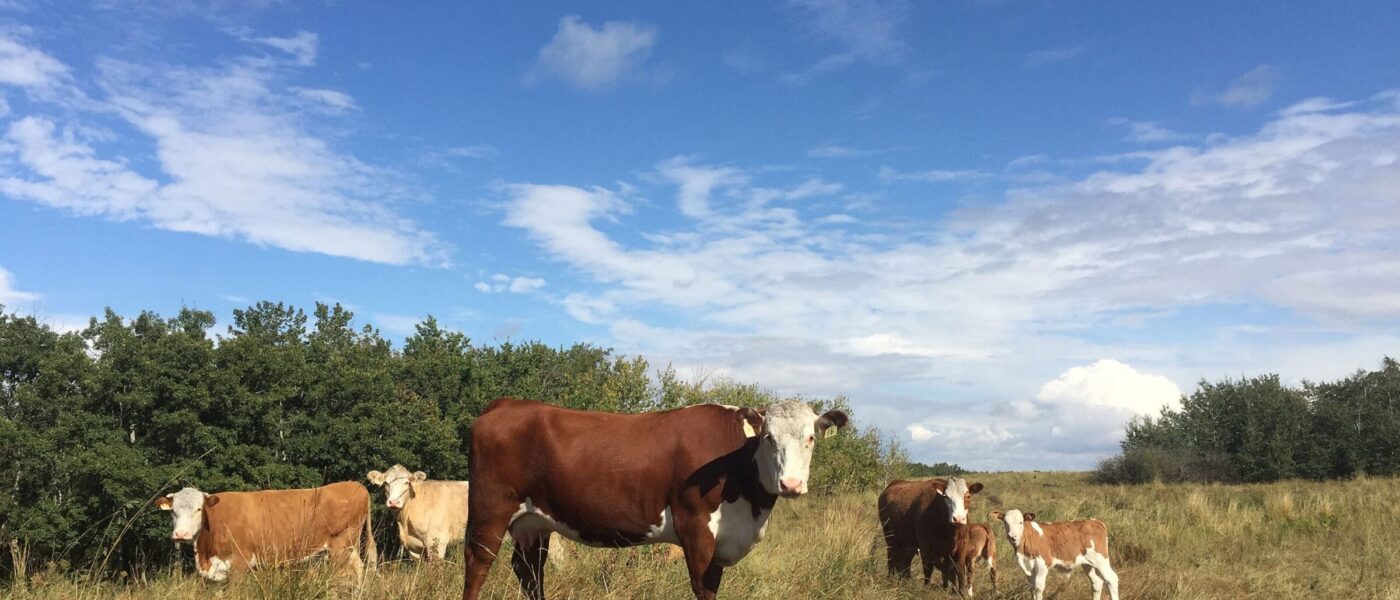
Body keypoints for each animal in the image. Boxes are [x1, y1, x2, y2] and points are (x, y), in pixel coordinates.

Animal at [155, 478, 375, 581]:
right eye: (173, 511)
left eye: (199, 509)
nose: (180, 534)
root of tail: (356, 485)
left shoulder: (240, 563)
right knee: (359, 568)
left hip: (341, 546)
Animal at [991, 506, 1120, 598]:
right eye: (1005, 522)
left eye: (1021, 522)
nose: (1012, 536)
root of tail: (1095, 521)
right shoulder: (1027, 568)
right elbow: (1032, 588)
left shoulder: (1043, 564)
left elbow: (1038, 588)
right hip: (1088, 563)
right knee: (1096, 583)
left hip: (1101, 560)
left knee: (1112, 579)